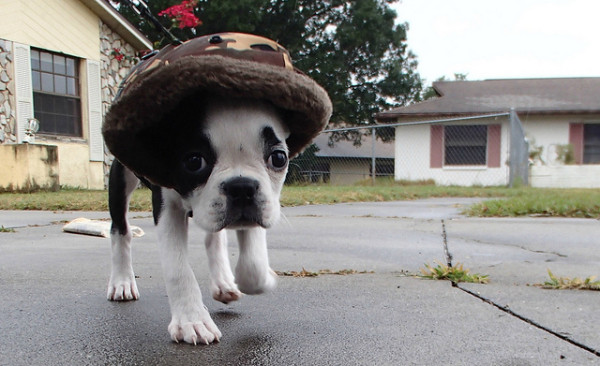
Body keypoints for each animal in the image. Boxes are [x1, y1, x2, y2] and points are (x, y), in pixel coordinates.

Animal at [108, 96, 290, 344]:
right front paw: (191, 320)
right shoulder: (167, 206)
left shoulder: (259, 210)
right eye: (194, 161)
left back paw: (223, 282)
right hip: (120, 177)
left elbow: (253, 263)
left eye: (279, 158)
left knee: (214, 238)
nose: (241, 187)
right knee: (120, 230)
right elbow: (177, 268)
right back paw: (122, 281)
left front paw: (264, 279)